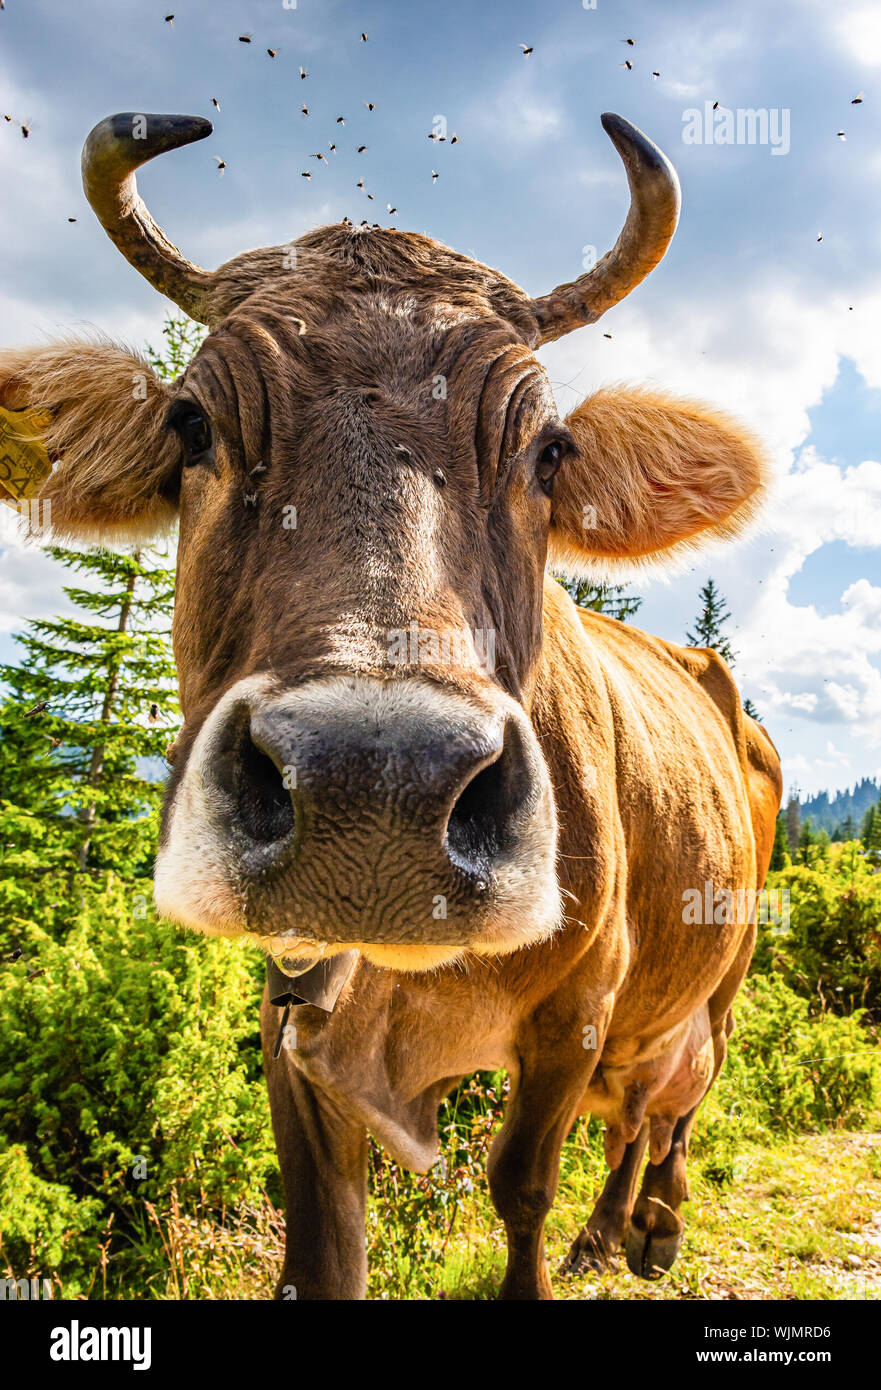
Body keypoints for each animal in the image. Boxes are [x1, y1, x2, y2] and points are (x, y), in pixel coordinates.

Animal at [0, 110, 782, 1300]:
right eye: (191, 423)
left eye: (548, 451)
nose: (375, 792)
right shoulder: (292, 1010)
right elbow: (324, 1245)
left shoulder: (576, 1007)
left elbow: (519, 1186)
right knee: (639, 1107)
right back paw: (610, 1232)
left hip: (723, 964)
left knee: (675, 1099)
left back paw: (650, 1226)